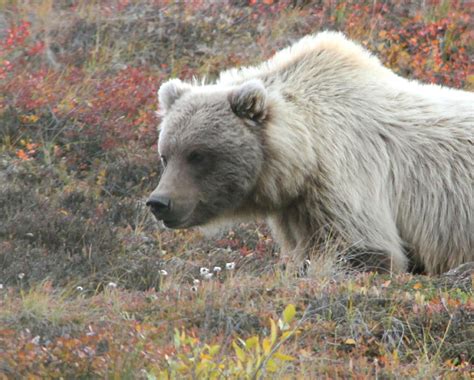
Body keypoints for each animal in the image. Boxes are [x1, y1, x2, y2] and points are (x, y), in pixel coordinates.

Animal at [146, 31, 472, 274]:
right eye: (166, 155)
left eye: (198, 155)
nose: (159, 202)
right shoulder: (296, 209)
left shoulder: (347, 175)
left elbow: (362, 249)